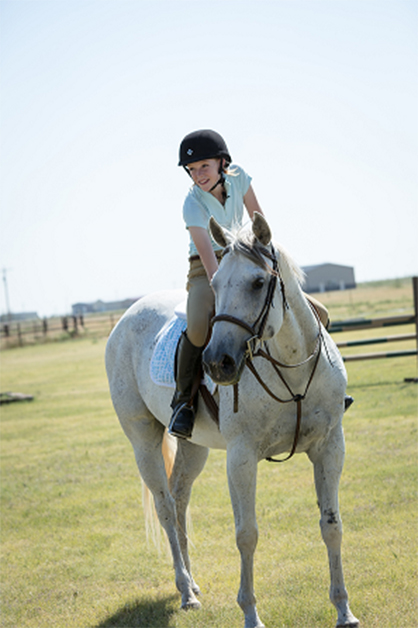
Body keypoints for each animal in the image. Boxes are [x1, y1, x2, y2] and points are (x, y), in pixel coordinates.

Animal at [104, 213, 360, 624]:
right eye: (215, 284)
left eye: (258, 282)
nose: (217, 363)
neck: (291, 366)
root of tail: (128, 315)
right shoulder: (241, 457)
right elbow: (247, 534)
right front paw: (251, 615)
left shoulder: (330, 446)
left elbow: (331, 525)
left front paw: (344, 611)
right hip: (142, 438)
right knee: (164, 507)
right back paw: (185, 592)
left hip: (193, 445)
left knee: (179, 498)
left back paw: (193, 585)